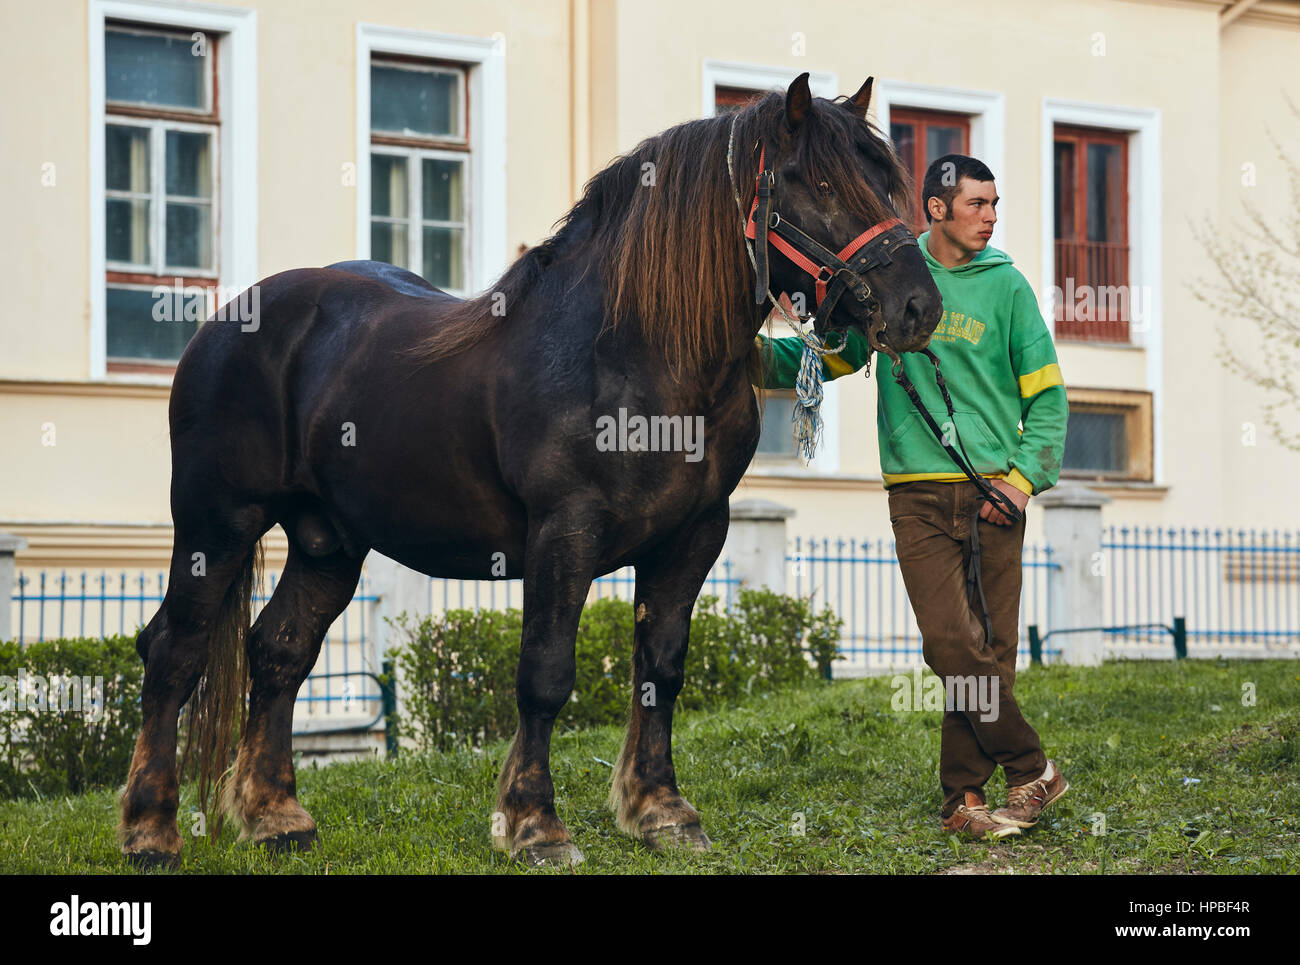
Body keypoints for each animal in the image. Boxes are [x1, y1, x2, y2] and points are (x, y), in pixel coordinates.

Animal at [119, 73, 935, 868]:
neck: (637, 356)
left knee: (278, 652)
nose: (918, 307)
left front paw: (662, 809)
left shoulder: (694, 536)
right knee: (174, 651)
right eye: (819, 183)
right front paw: (535, 822)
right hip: (217, 522)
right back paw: (150, 831)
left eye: (884, 178)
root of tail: (230, 320)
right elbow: (545, 675)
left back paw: (276, 818)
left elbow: (662, 669)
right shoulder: (564, 532)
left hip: (328, 543)